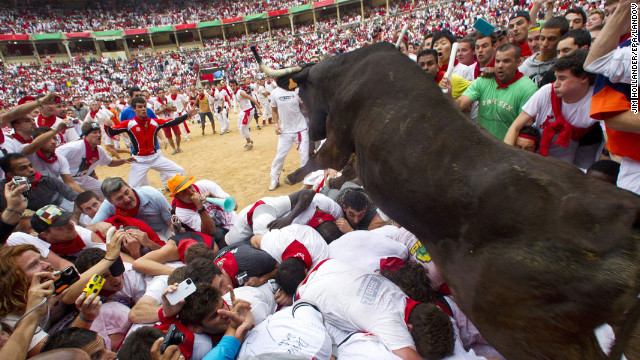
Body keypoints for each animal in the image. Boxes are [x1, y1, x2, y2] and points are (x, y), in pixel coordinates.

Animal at [251, 43, 640, 360]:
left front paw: (290, 190)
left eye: (301, 96)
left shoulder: (339, 138)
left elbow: (318, 164)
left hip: (521, 331)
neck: (348, 70)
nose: (312, 129)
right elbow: (333, 176)